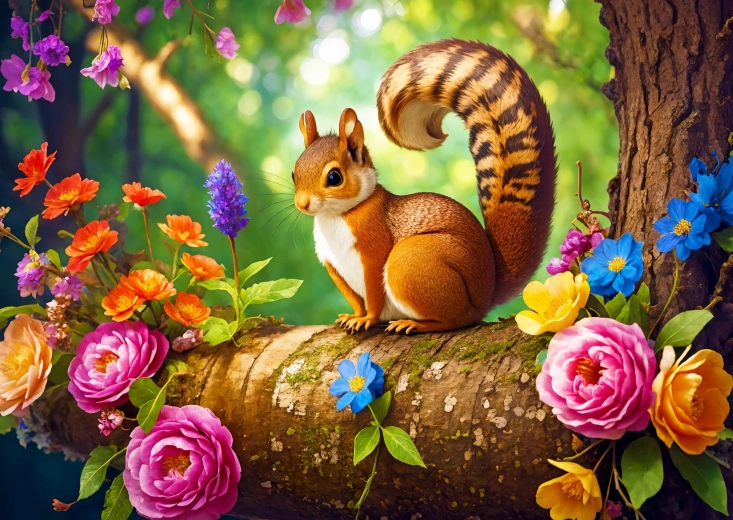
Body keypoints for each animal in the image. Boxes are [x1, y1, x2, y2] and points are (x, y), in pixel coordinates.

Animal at [291, 39, 557, 334]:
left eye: (334, 177)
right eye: (294, 174)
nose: (302, 204)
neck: (338, 215)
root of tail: (484, 297)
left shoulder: (374, 247)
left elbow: (373, 293)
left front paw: (367, 319)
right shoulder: (332, 266)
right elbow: (355, 299)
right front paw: (354, 315)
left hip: (409, 261)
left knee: (456, 319)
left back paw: (414, 324)